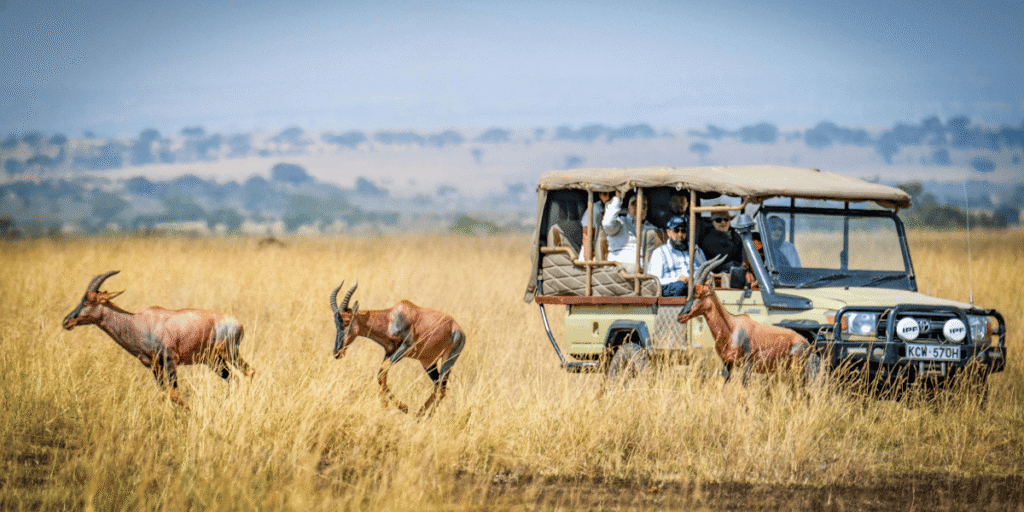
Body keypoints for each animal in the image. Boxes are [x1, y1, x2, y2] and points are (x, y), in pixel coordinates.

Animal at [62, 271, 254, 407]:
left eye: (89, 301)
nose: (67, 321)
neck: (140, 321)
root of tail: (238, 324)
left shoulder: (170, 360)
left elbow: (174, 395)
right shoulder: (154, 366)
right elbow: (165, 394)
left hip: (229, 353)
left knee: (249, 372)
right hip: (214, 361)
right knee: (234, 379)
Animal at [330, 281, 466, 417]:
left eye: (347, 321)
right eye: (335, 323)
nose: (337, 352)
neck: (393, 318)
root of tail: (458, 328)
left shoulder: (406, 348)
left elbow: (382, 371)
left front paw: (401, 407)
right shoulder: (389, 351)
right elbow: (381, 374)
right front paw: (388, 406)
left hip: (449, 360)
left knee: (442, 389)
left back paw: (425, 418)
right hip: (428, 363)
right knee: (437, 387)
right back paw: (418, 416)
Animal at [677, 255, 821, 383]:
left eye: (700, 294)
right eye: (691, 292)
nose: (681, 317)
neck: (732, 327)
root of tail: (807, 345)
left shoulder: (747, 365)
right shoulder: (727, 363)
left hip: (799, 368)